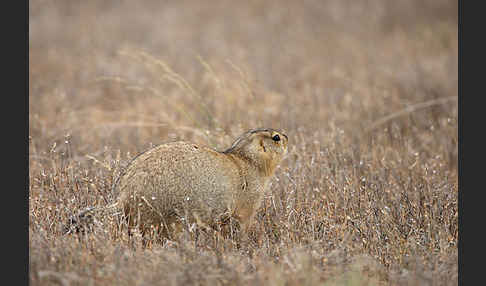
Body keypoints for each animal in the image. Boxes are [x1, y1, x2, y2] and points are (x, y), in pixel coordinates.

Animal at [62, 128, 286, 238]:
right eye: (276, 138)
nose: (287, 136)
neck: (247, 159)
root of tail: (123, 198)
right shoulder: (249, 202)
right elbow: (242, 223)